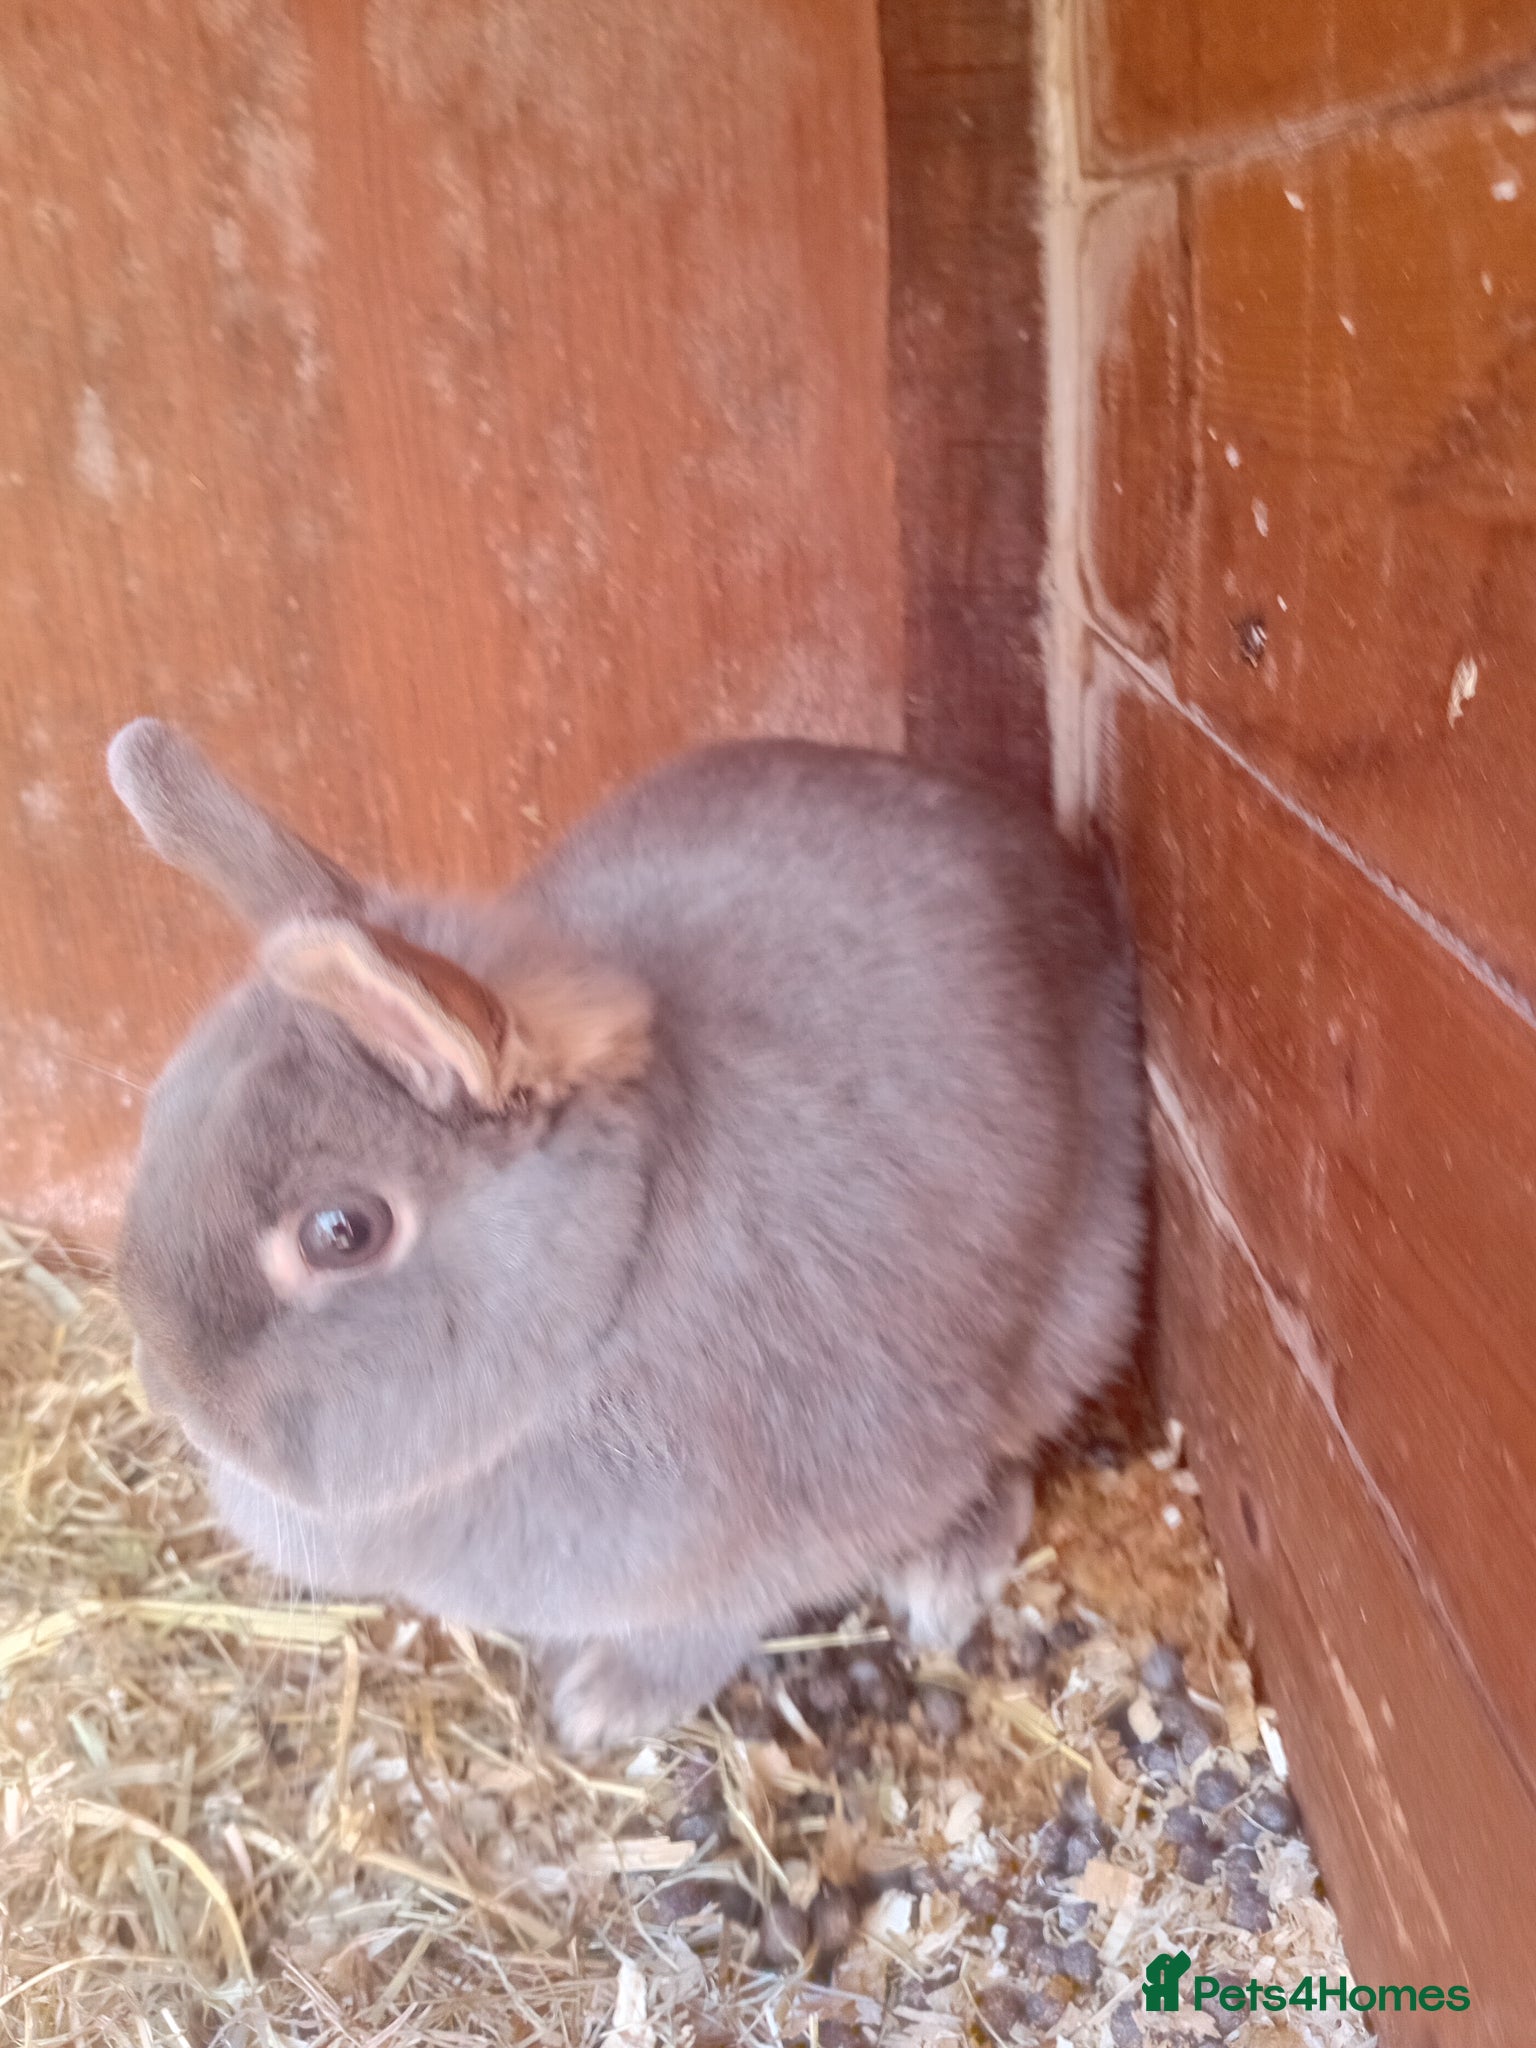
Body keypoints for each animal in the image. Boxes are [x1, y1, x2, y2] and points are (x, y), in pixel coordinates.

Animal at [106, 718, 1146, 1751]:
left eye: (342, 1231)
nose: (174, 1395)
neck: (603, 1300)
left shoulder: (785, 1526)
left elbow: (711, 1620)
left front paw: (603, 1706)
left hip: (1073, 1308)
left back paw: (945, 1574)